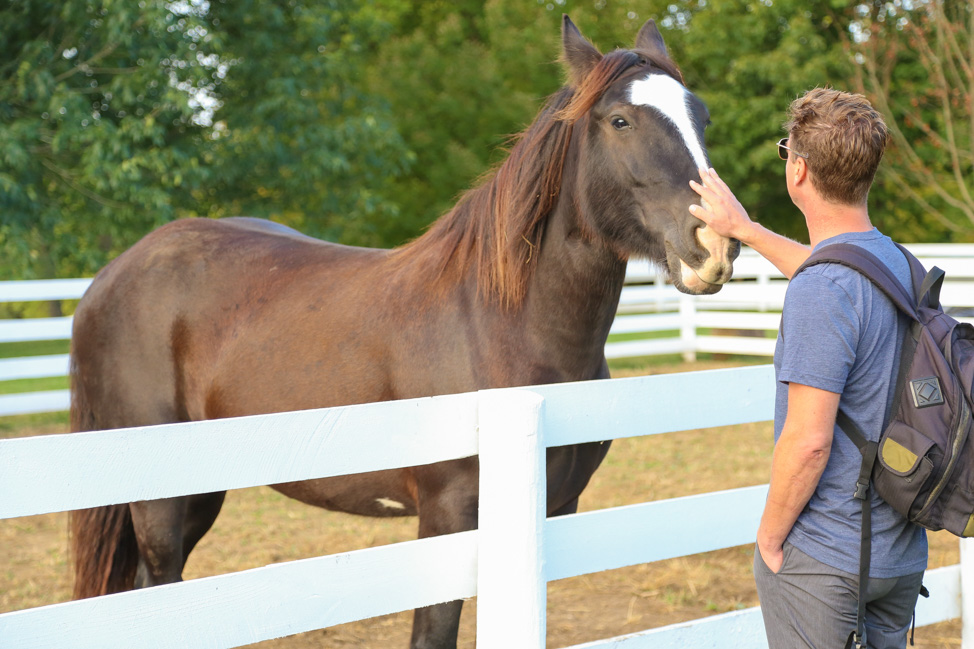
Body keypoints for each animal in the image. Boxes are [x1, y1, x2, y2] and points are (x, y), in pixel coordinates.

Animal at [68, 15, 740, 648]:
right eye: (621, 120)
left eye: (702, 117)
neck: (500, 328)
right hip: (157, 501)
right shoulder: (447, 521)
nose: (717, 243)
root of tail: (109, 278)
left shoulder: (554, 512)